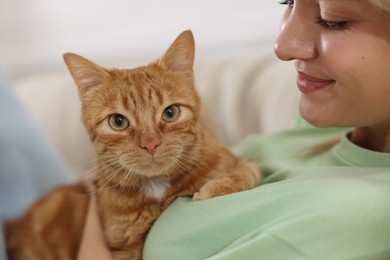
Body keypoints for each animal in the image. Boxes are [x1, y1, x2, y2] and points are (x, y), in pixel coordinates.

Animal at [5, 30, 258, 260]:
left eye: (170, 112)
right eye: (118, 122)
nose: (150, 144)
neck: (157, 189)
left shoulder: (241, 162)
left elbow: (247, 172)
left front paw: (214, 188)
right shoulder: (125, 249)